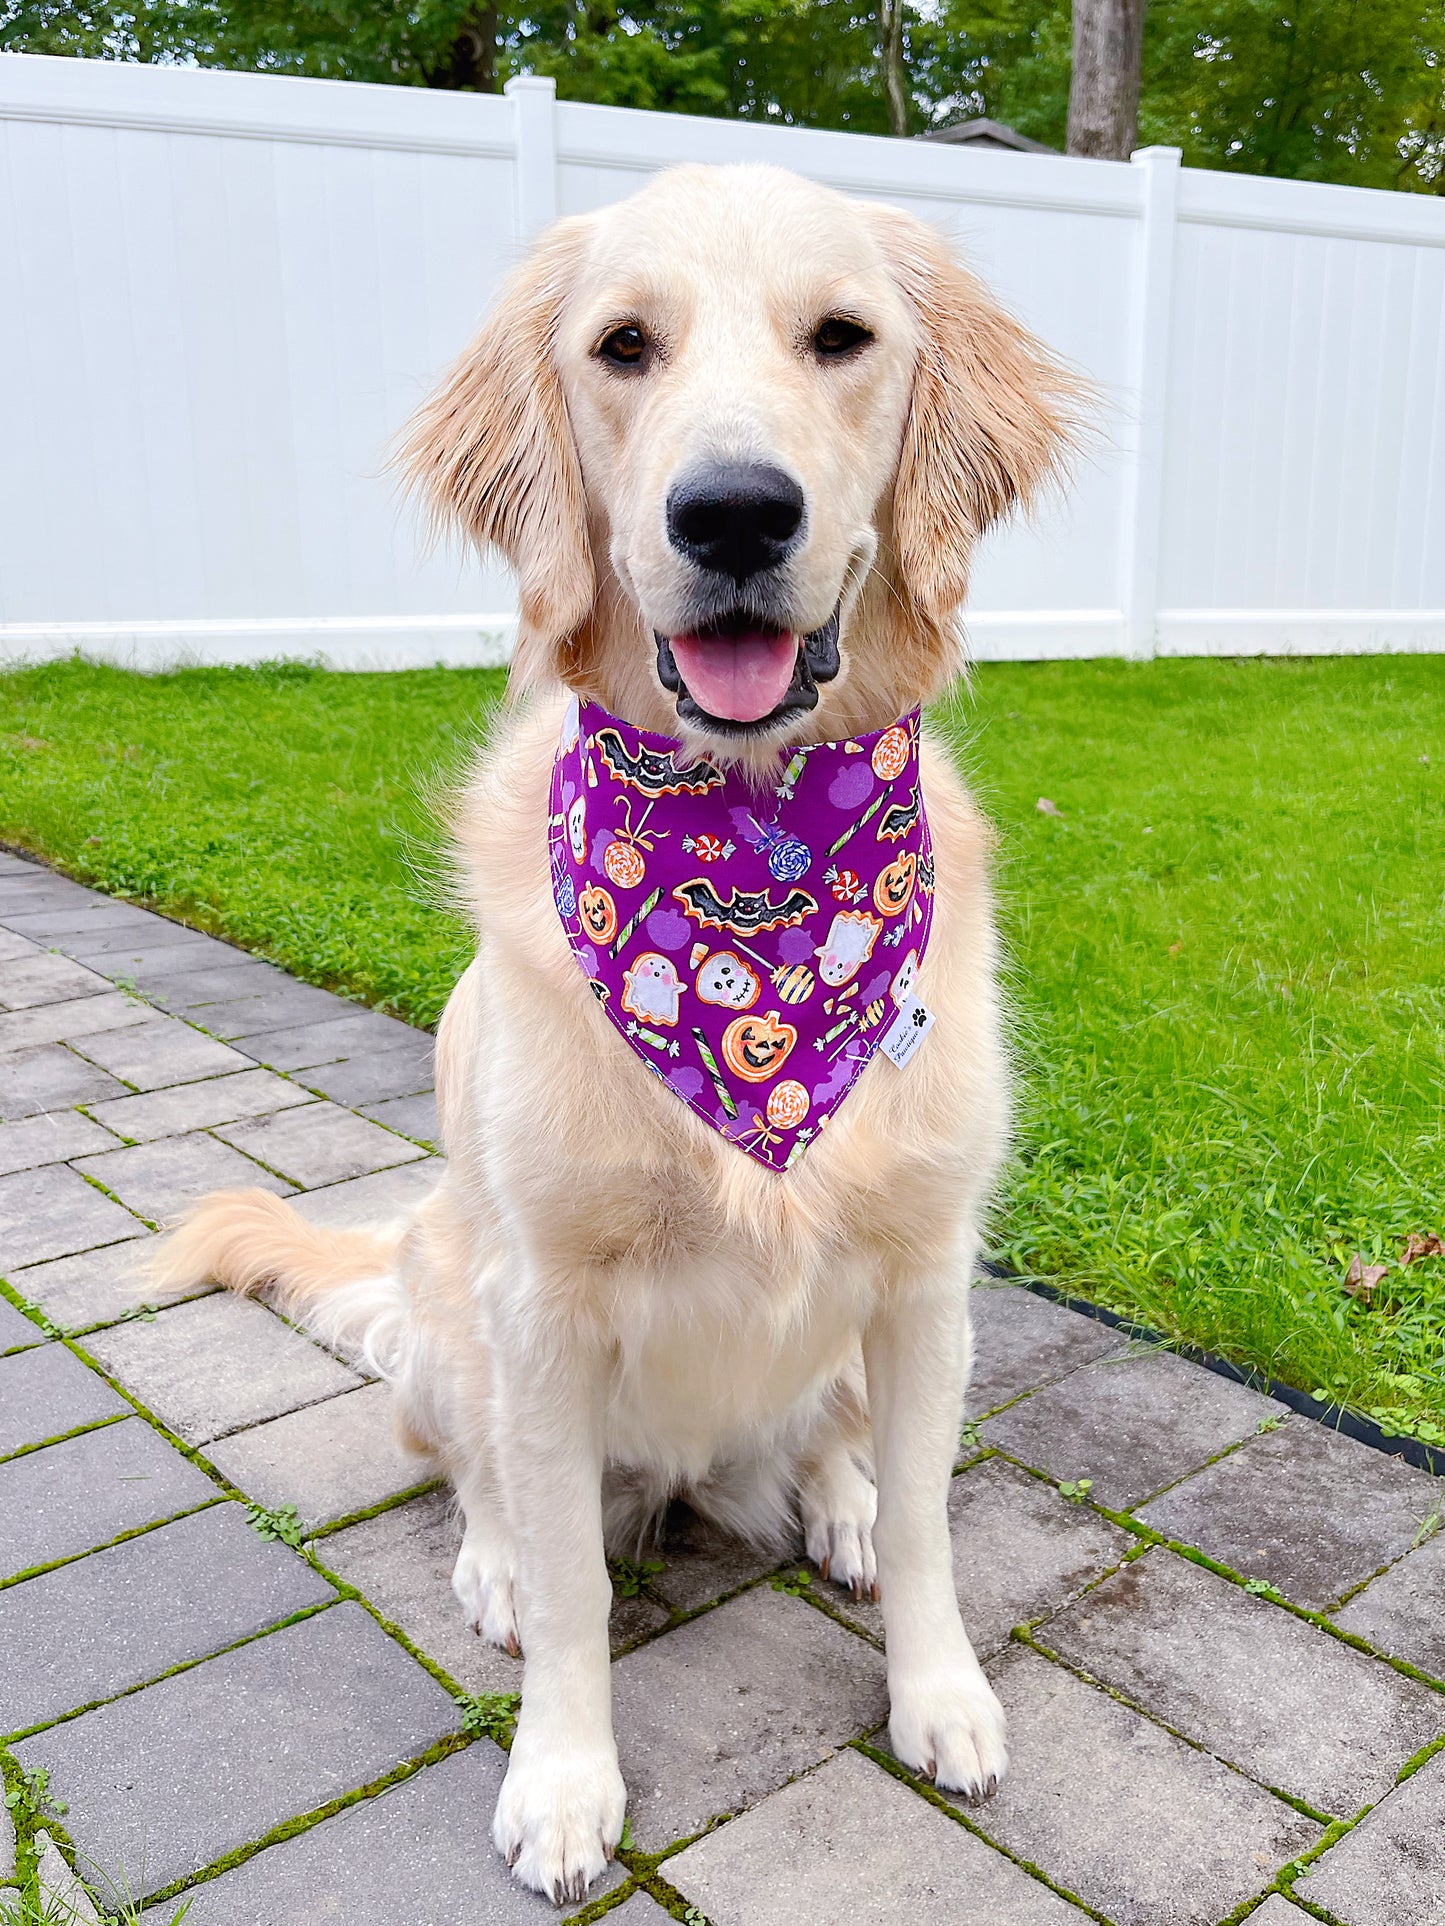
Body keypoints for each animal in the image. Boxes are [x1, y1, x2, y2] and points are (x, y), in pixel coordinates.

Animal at [156, 161, 1086, 1895]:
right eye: (623, 346)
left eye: (841, 336)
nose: (732, 513)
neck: (755, 867)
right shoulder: (541, 1301)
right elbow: (577, 1581)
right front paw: (565, 1778)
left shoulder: (928, 1269)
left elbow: (934, 1513)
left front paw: (938, 1692)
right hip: (447, 1298)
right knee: (480, 1482)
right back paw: (496, 1571)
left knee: (836, 1444)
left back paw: (838, 1504)